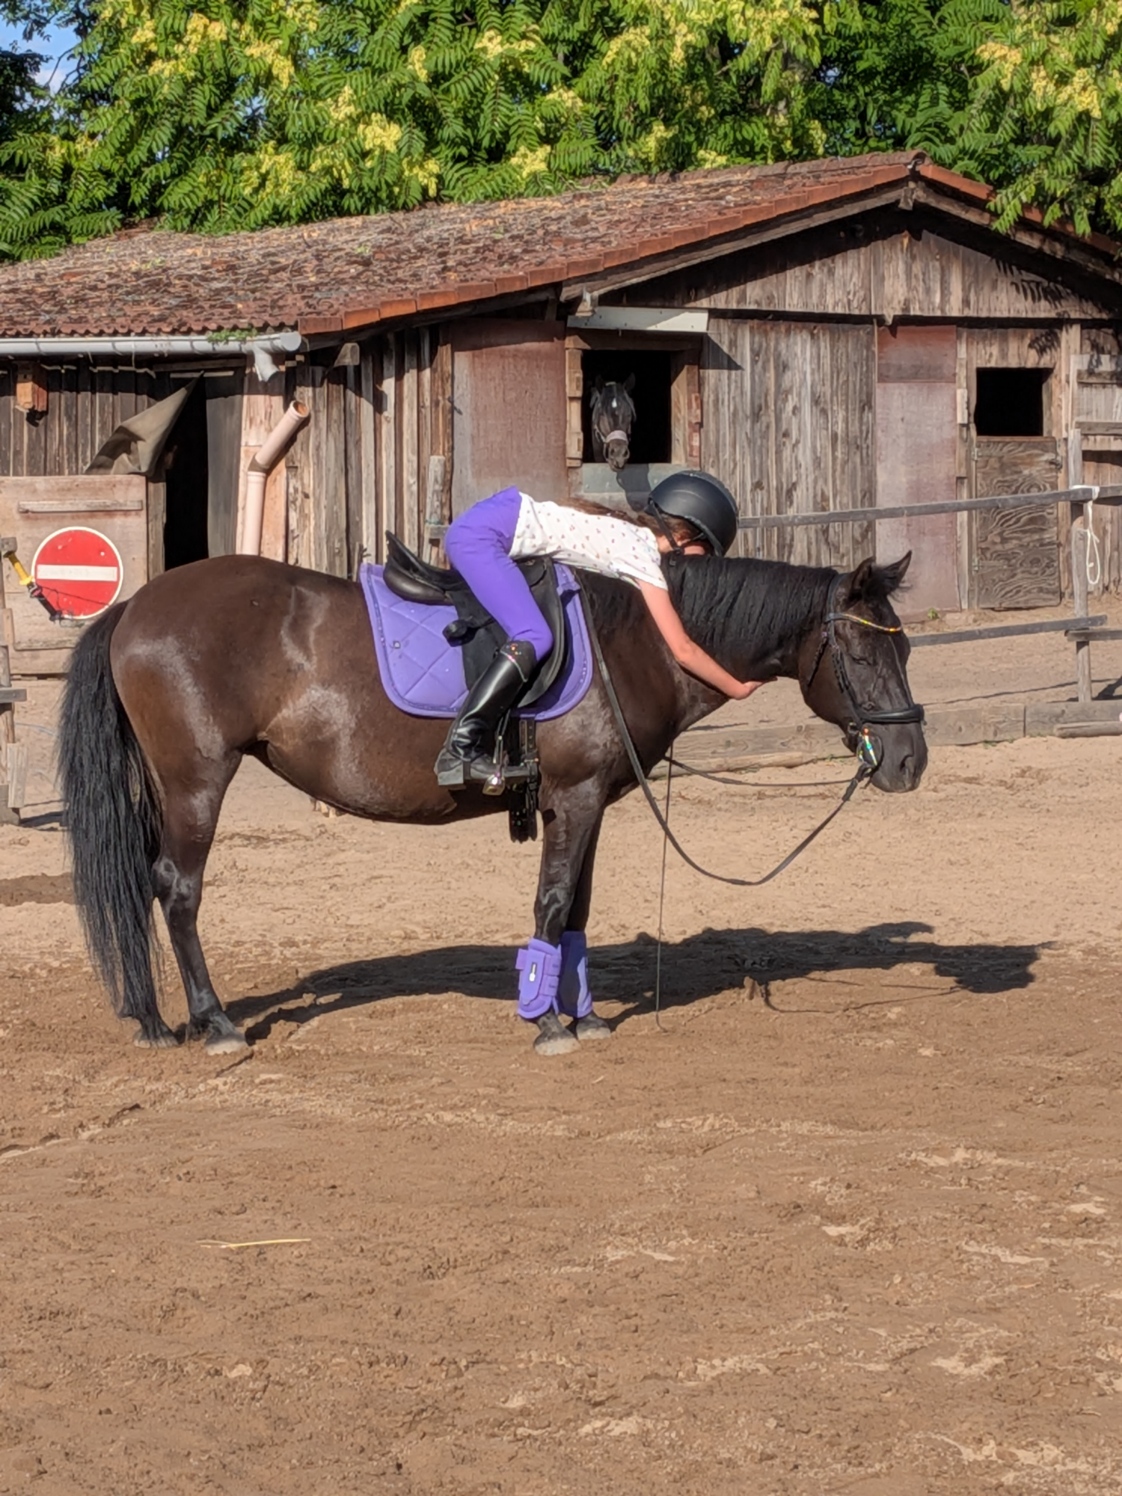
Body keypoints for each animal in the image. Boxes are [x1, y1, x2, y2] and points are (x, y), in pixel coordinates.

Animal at [58, 548, 927, 1058]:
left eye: (907, 644)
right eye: (860, 651)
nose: (910, 761)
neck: (633, 641)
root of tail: (136, 607)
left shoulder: (587, 802)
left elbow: (576, 910)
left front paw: (584, 1013)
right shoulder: (575, 797)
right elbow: (551, 902)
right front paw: (546, 1021)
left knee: (145, 888)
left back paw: (156, 1019)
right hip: (197, 781)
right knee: (178, 891)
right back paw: (215, 1024)